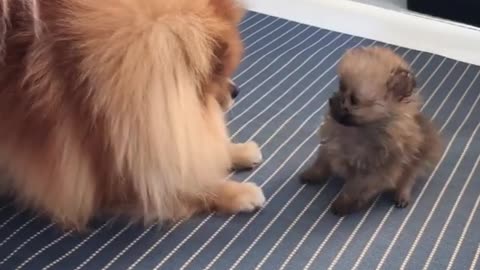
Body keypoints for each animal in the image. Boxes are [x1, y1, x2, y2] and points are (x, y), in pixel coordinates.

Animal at [0, 0, 266, 230]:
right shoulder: (111, 173)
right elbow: (184, 184)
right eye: (216, 72)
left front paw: (238, 150)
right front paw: (239, 193)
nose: (236, 91)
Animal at [302, 46, 440, 215]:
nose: (332, 99)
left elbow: (353, 189)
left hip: (416, 160)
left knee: (408, 178)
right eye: (341, 87)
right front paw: (312, 174)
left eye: (354, 100)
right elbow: (321, 163)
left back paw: (402, 195)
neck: (359, 129)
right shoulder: (330, 145)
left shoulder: (372, 171)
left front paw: (342, 204)